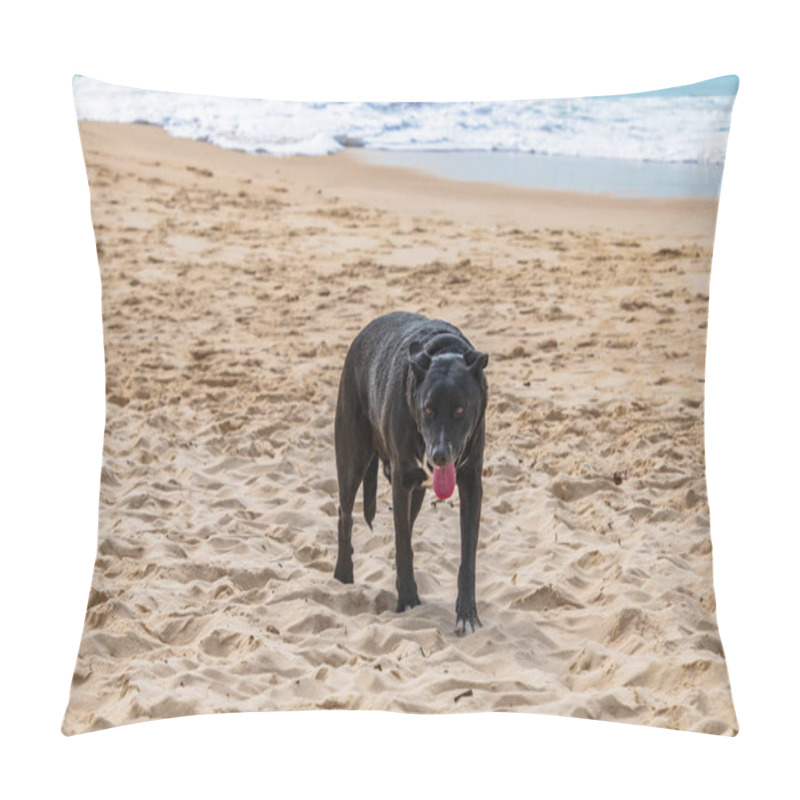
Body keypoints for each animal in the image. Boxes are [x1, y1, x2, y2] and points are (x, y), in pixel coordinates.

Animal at [332, 312, 488, 636]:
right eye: (427, 410)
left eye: (460, 410)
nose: (439, 455)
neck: (444, 349)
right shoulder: (401, 483)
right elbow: (404, 547)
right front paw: (407, 600)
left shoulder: (470, 484)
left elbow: (467, 556)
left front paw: (467, 613)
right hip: (352, 459)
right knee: (344, 514)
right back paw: (343, 574)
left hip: (416, 492)